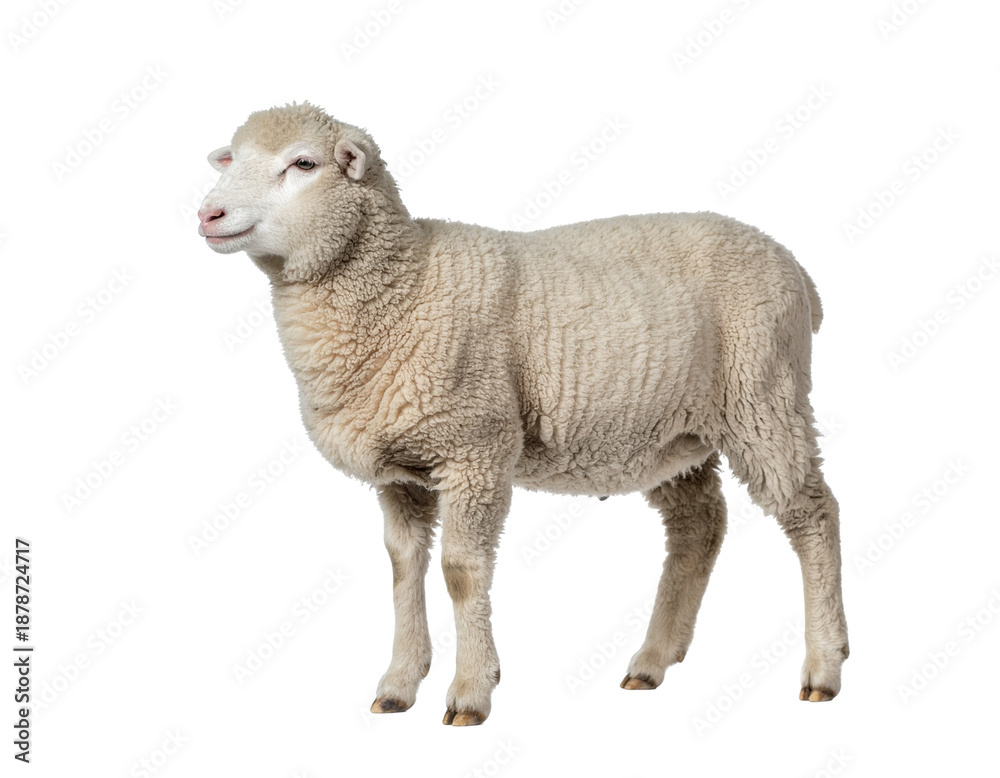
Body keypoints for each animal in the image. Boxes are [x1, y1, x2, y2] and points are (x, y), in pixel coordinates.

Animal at [197, 102, 849, 726]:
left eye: (303, 163)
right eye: (232, 160)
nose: (207, 214)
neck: (405, 285)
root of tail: (799, 272)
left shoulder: (475, 448)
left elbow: (461, 572)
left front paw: (470, 692)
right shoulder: (401, 474)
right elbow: (404, 568)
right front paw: (399, 684)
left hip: (764, 397)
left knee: (814, 515)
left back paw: (824, 665)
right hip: (675, 434)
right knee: (699, 527)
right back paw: (653, 660)